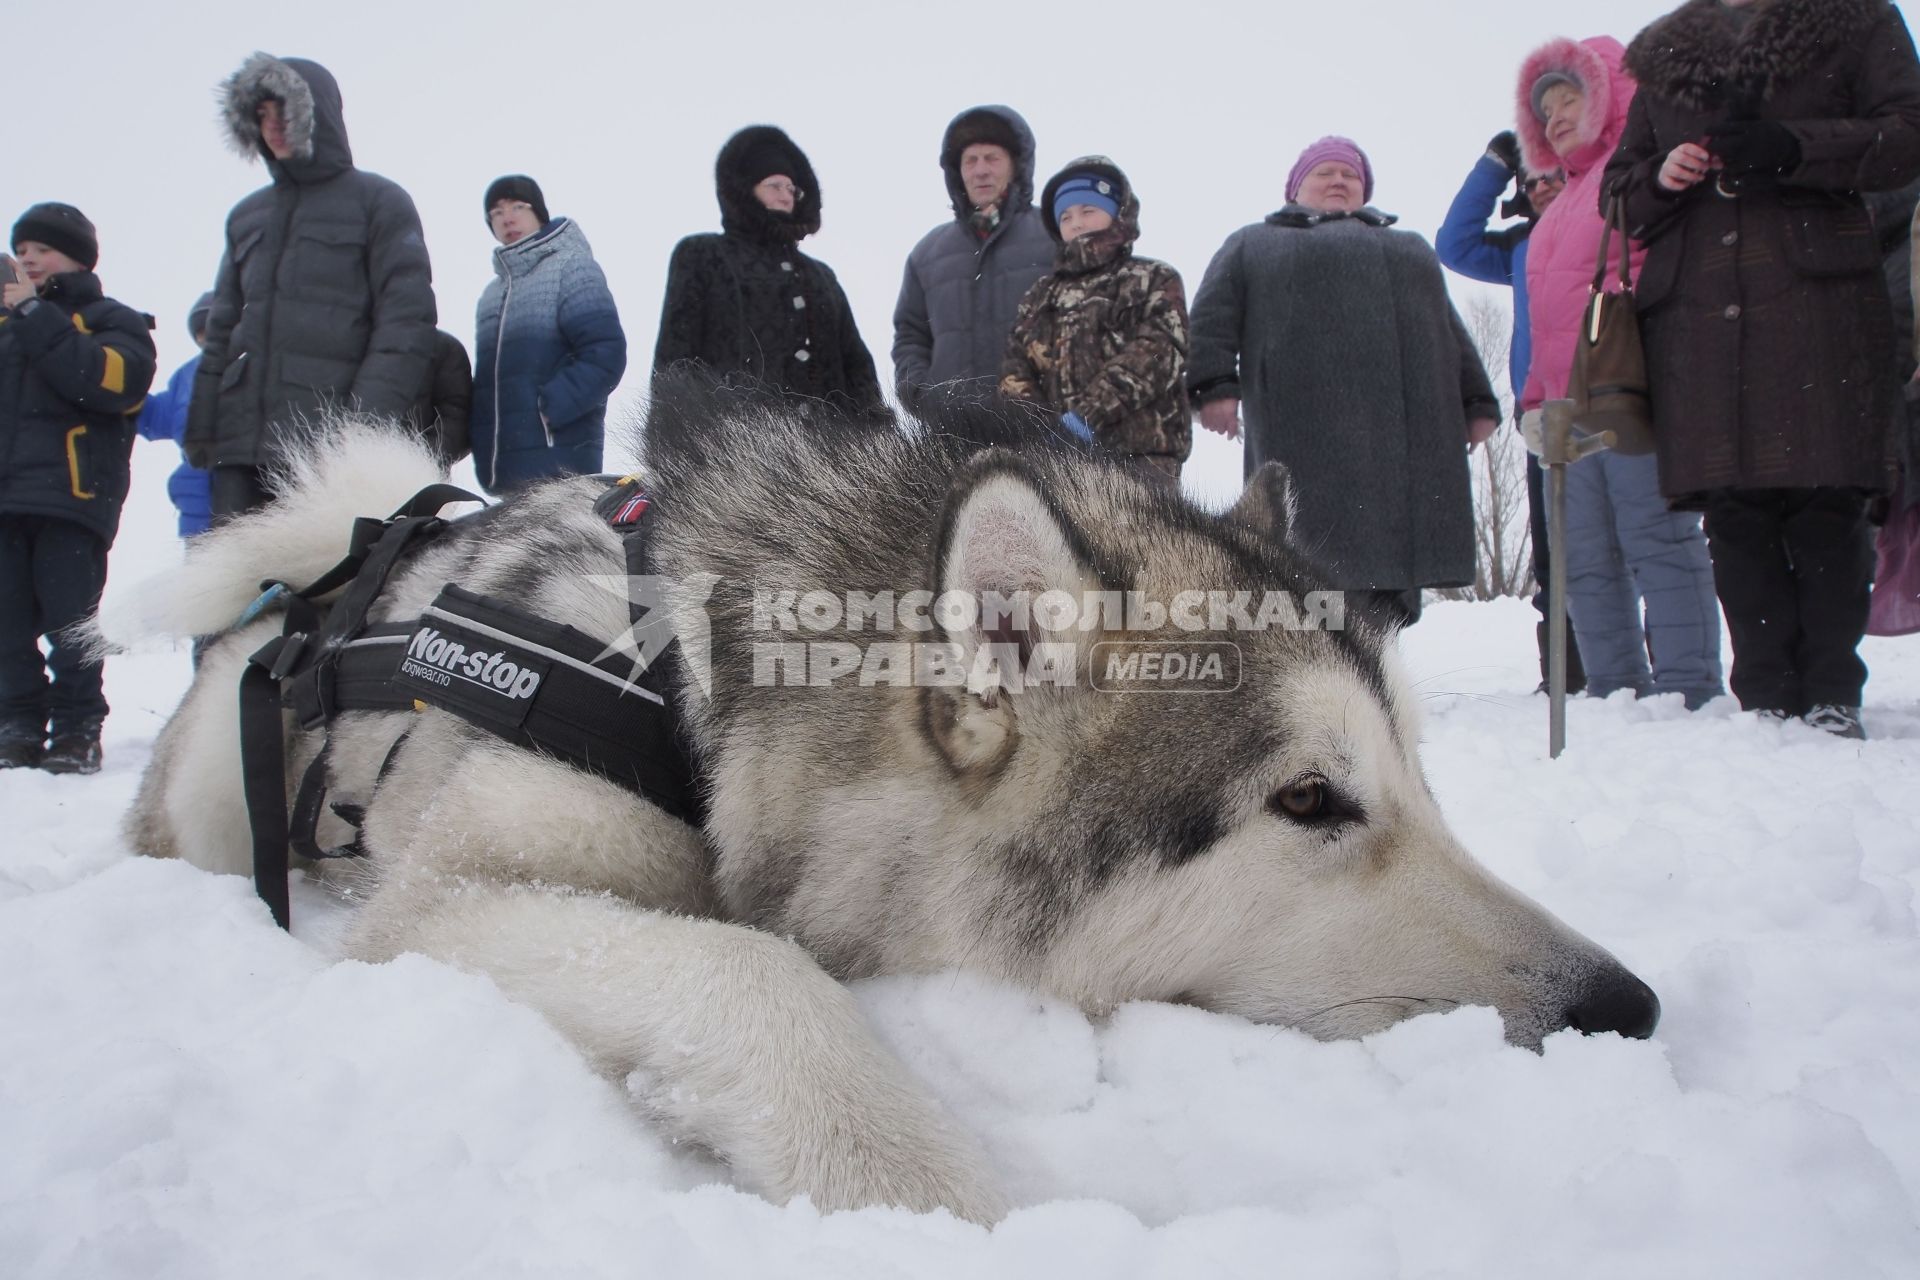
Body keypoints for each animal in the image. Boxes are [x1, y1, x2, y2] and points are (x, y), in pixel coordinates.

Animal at [112, 387, 1658, 1220]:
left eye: (1414, 778)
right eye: (1311, 798)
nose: (1625, 1008)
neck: (698, 695)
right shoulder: (456, 894)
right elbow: (752, 969)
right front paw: (935, 1206)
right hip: (223, 797)